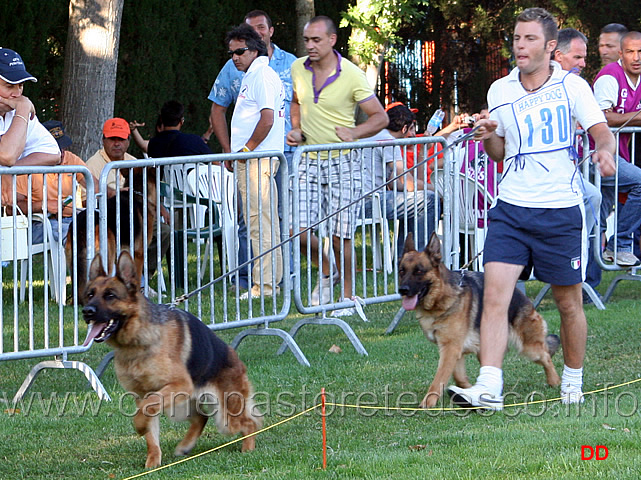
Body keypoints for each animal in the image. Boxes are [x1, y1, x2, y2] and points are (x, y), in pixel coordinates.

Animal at [82, 253, 260, 466]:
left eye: (110, 296)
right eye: (90, 294)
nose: (86, 311)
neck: (137, 341)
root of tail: (235, 357)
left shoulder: (176, 385)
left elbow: (147, 408)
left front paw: (139, 426)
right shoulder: (142, 395)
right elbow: (150, 430)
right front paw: (152, 463)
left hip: (223, 415)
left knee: (249, 423)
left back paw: (247, 449)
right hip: (181, 406)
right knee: (201, 417)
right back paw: (185, 446)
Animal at [398, 234, 556, 406]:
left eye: (419, 271)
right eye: (401, 271)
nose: (402, 290)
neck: (441, 297)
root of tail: (522, 296)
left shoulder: (450, 349)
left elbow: (439, 378)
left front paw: (428, 402)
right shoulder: (454, 350)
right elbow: (458, 377)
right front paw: (467, 390)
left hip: (529, 348)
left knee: (546, 356)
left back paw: (555, 382)